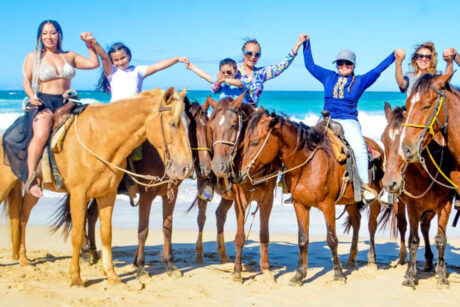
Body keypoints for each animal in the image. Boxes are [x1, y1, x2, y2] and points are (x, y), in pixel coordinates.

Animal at [0, 88, 194, 288]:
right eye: (172, 123)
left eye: (189, 124)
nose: (187, 168)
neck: (101, 138)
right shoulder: (79, 195)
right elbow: (78, 235)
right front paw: (76, 278)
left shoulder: (108, 195)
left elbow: (107, 234)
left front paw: (112, 275)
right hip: (5, 184)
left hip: (35, 190)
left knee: (23, 218)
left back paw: (24, 259)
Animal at [52, 98, 212, 276]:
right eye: (191, 128)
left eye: (208, 128)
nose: (205, 168)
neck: (158, 154)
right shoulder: (147, 195)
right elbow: (143, 230)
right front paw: (141, 266)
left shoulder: (171, 193)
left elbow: (167, 228)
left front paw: (170, 264)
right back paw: (86, 251)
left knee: (91, 215)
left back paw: (93, 252)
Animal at [239, 109, 382, 286]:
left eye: (255, 142)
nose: (240, 174)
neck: (308, 164)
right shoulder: (300, 205)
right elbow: (302, 239)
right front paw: (299, 275)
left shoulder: (328, 206)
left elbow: (332, 239)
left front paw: (338, 274)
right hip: (351, 202)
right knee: (356, 222)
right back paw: (351, 259)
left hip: (375, 201)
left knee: (372, 226)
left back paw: (371, 261)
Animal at [380, 103, 452, 288]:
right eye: (383, 139)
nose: (390, 182)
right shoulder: (413, 205)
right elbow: (413, 239)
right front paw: (410, 275)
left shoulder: (445, 204)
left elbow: (440, 238)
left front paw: (442, 274)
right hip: (400, 203)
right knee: (403, 226)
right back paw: (403, 257)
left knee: (425, 227)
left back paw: (428, 260)